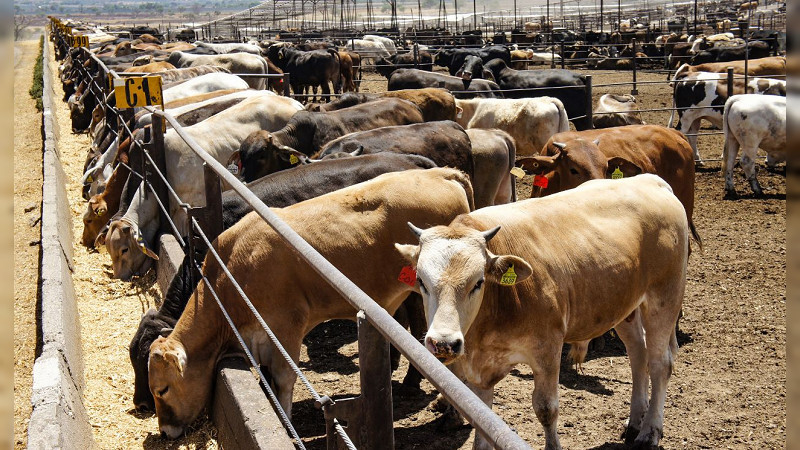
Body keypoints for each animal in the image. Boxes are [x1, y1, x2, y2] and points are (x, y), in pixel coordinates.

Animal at [148, 167, 476, 438]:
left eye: (162, 389)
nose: (165, 431)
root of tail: (441, 173)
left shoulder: (286, 326)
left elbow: (283, 379)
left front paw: (287, 424)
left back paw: (450, 414)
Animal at [396, 175, 692, 450]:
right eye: (421, 281)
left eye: (478, 282)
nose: (444, 343)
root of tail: (650, 180)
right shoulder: (480, 368)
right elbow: (481, 415)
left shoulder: (548, 349)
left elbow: (546, 409)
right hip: (625, 306)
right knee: (638, 355)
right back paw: (634, 423)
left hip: (664, 298)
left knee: (660, 363)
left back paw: (649, 432)